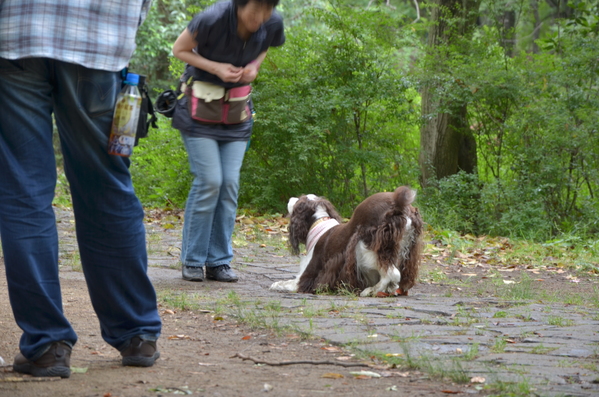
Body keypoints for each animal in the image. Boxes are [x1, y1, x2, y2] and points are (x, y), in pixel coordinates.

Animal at [270, 185, 424, 294]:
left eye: (300, 200)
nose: (290, 198)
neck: (318, 223)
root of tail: (399, 204)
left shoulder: (307, 277)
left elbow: (287, 283)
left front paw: (275, 284)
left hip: (366, 248)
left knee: (392, 273)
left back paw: (370, 291)